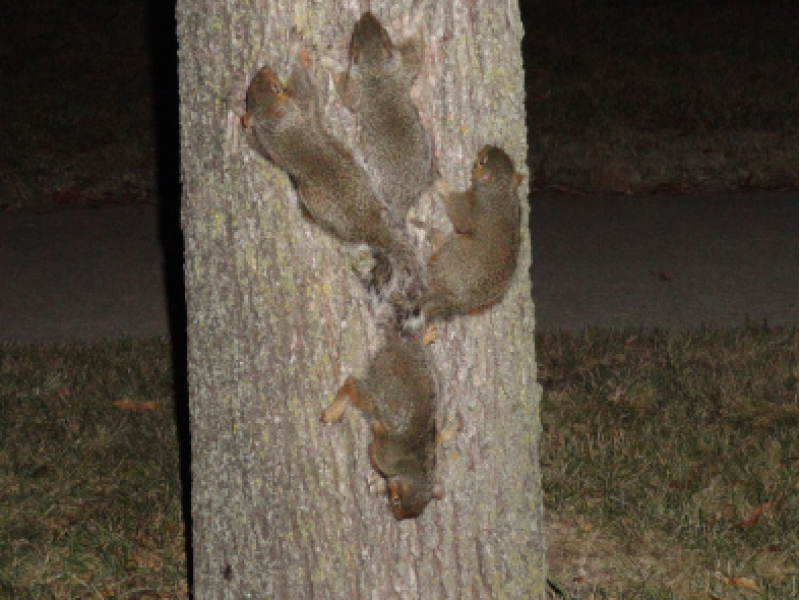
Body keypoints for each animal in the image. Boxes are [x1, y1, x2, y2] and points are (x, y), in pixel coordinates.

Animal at [320, 326, 457, 520]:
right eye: (396, 501)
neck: (416, 470)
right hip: (378, 392)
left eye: (416, 513)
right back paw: (334, 410)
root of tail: (397, 349)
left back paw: (424, 337)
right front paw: (379, 479)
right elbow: (374, 457)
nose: (398, 518)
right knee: (352, 385)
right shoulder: (382, 455)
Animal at [327, 12, 436, 225]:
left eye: (383, 31)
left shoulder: (366, 85)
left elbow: (345, 93)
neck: (375, 67)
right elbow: (415, 54)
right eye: (356, 38)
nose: (366, 14)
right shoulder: (401, 70)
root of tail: (400, 206)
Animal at [396, 145, 524, 323]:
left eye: (482, 161)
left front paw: (439, 180)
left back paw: (435, 237)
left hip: (446, 256)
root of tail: (455, 302)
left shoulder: (472, 206)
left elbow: (456, 210)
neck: (499, 189)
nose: (484, 147)